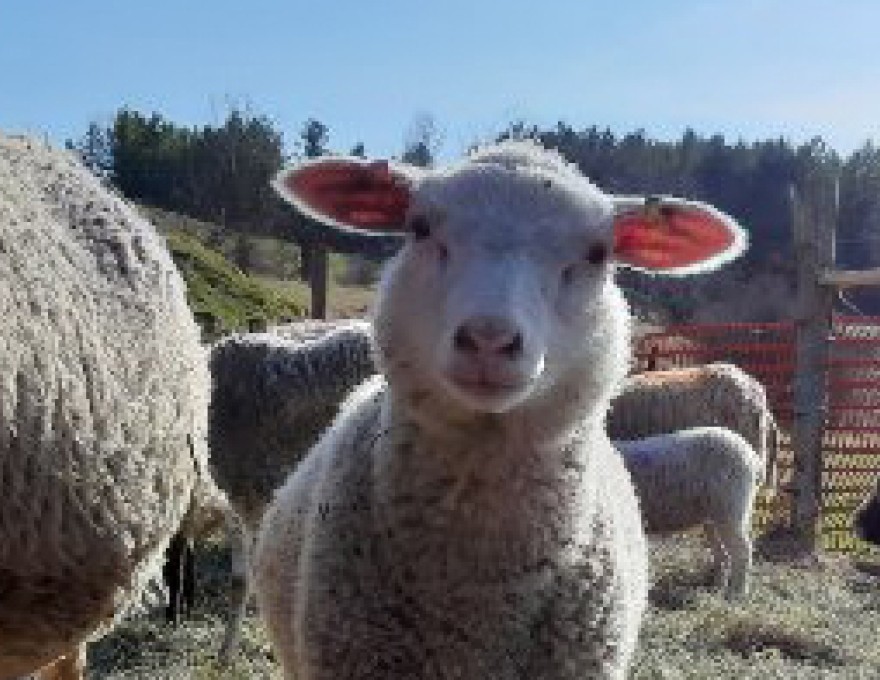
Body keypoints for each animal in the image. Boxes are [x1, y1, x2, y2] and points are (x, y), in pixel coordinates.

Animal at [615, 427, 763, 599]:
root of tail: (753, 458)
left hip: (730, 508)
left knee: (743, 551)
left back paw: (737, 593)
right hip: (713, 515)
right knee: (723, 552)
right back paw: (715, 586)